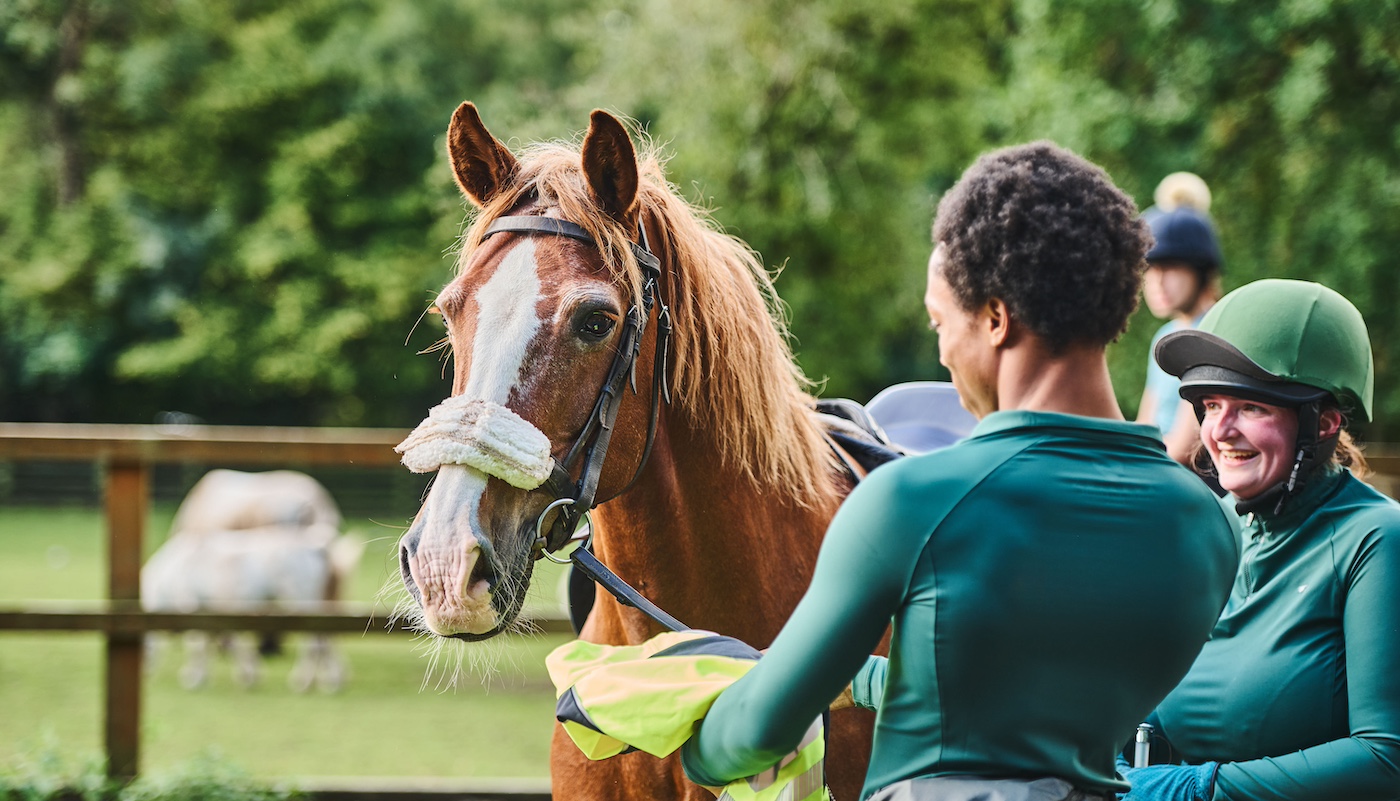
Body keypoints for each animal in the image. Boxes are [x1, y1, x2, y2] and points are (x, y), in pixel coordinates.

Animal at [143, 469, 363, 692]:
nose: (145, 673)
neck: (176, 568)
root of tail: (317, 544)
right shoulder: (213, 609)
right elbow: (218, 641)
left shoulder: (193, 604)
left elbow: (199, 644)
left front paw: (197, 678)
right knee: (325, 636)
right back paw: (331, 680)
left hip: (302, 601)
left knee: (314, 641)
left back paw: (305, 681)